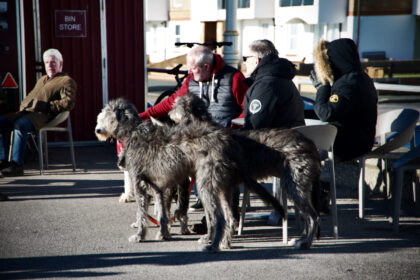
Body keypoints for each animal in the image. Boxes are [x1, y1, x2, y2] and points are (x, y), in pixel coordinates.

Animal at [95, 98, 286, 252]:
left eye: (104, 114)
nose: (97, 130)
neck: (133, 132)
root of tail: (228, 143)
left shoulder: (139, 183)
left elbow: (142, 213)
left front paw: (140, 236)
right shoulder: (158, 188)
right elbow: (162, 213)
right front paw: (164, 234)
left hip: (205, 185)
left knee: (219, 218)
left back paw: (213, 245)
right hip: (223, 187)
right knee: (230, 217)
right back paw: (225, 243)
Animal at [170, 93, 322, 249]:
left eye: (176, 106)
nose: (169, 113)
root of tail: (311, 144)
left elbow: (211, 217)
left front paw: (208, 238)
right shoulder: (226, 187)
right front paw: (222, 239)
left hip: (294, 184)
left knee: (313, 216)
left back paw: (306, 243)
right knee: (308, 217)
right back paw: (300, 239)